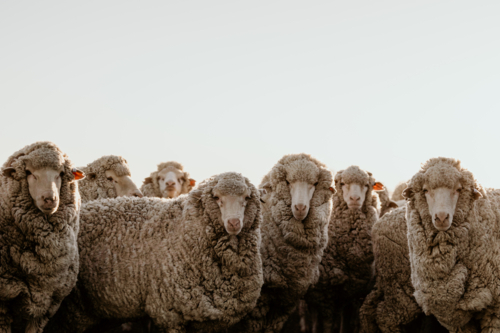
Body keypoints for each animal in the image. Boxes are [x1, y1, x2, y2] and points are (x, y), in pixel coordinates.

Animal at [304, 165, 386, 332]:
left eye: (367, 185)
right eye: (341, 184)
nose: (355, 199)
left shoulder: (351, 291)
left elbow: (345, 320)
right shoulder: (325, 293)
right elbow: (328, 324)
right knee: (313, 316)